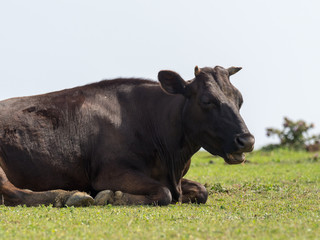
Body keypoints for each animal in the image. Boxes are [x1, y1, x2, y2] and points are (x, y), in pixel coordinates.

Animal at [0, 65, 255, 206]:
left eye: (240, 99)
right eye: (207, 101)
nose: (247, 140)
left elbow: (202, 191)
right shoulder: (109, 173)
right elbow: (163, 194)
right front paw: (111, 197)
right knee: (13, 193)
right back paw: (71, 197)